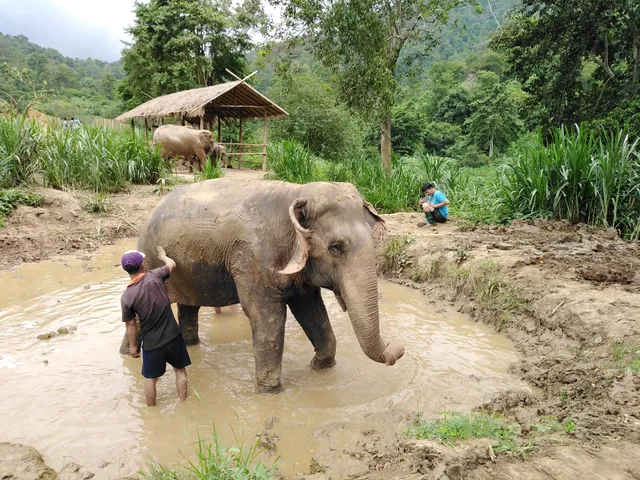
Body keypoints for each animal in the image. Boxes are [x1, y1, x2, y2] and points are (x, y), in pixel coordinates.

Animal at [124, 178, 404, 394]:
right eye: (336, 248)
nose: (398, 349)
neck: (296, 194)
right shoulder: (252, 257)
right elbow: (267, 316)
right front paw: (270, 393)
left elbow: (312, 311)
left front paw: (321, 368)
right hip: (151, 261)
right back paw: (130, 356)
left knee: (189, 306)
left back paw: (191, 345)